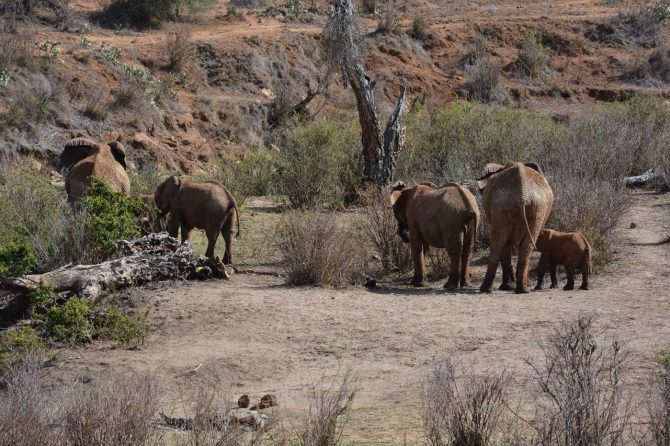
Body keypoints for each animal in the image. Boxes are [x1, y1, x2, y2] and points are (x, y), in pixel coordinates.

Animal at [476, 161, 553, 294]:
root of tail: (522, 195)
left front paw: (508, 286)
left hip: (531, 208)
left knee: (501, 244)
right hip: (526, 209)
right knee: (513, 245)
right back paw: (521, 289)